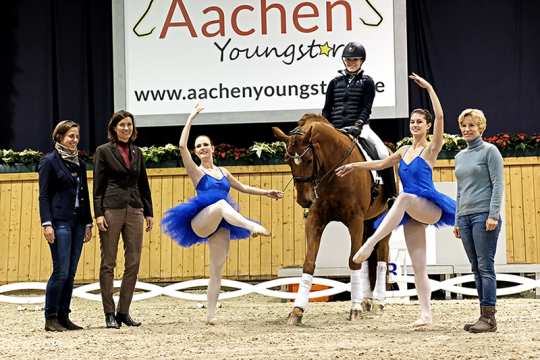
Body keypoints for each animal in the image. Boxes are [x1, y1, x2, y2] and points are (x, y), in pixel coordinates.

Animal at [272, 114, 390, 324]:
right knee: (367, 256)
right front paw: (297, 311)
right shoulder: (316, 219)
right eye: (287, 160)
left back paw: (378, 302)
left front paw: (355, 308)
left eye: (309, 159)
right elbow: (309, 262)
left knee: (382, 257)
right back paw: (366, 300)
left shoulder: (355, 220)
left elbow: (353, 261)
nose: (304, 200)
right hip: (367, 222)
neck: (334, 173)